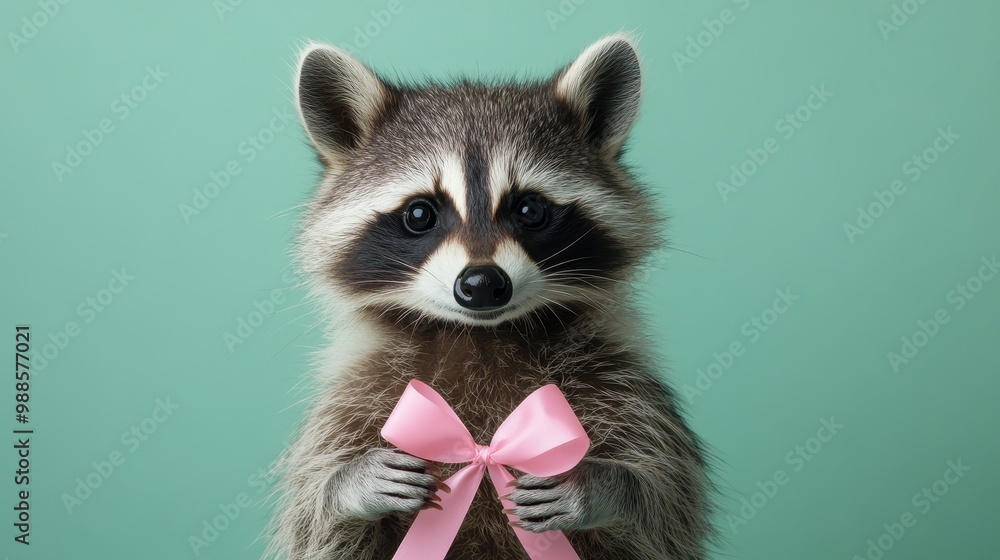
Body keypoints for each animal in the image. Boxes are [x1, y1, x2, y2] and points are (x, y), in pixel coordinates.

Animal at [268, 34, 712, 560]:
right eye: (420, 213)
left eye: (530, 209)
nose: (481, 284)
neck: (481, 336)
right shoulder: (353, 395)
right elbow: (314, 521)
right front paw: (346, 485)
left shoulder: (623, 384)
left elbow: (668, 504)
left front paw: (603, 486)